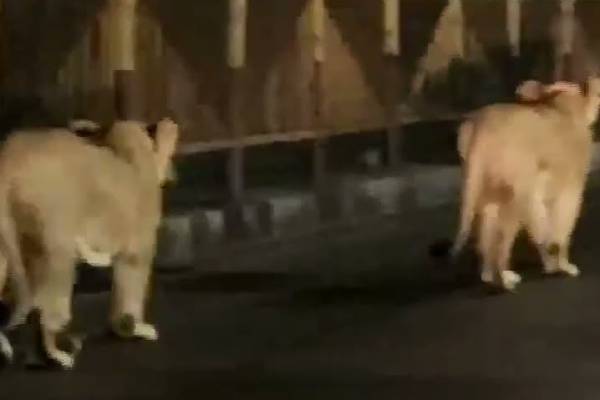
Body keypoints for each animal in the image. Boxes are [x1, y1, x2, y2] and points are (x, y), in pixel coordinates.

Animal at [0, 116, 178, 368]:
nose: (173, 174)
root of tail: (7, 162)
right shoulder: (138, 246)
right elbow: (131, 285)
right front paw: (136, 329)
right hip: (57, 244)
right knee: (47, 307)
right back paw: (59, 355)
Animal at [450, 76, 600, 290]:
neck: (560, 108)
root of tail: (482, 130)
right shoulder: (569, 190)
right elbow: (561, 226)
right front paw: (563, 265)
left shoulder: (538, 194)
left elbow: (542, 227)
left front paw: (551, 263)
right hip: (514, 196)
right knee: (502, 241)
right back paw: (505, 280)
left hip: (488, 193)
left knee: (486, 235)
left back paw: (489, 275)